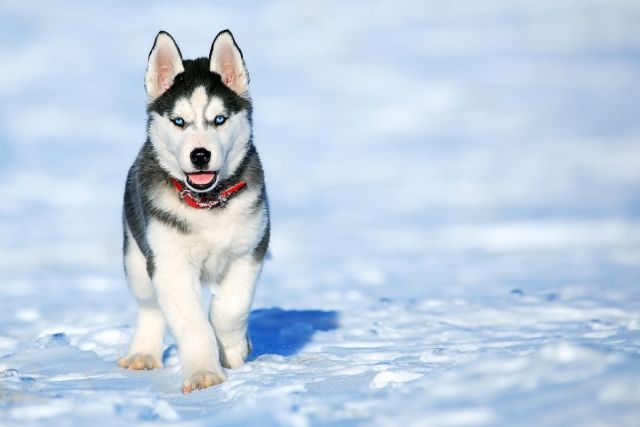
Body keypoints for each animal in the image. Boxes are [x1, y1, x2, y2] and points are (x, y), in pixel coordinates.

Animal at [119, 30, 268, 394]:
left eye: (219, 119)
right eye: (179, 122)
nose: (200, 155)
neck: (207, 204)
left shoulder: (249, 250)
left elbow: (231, 308)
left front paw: (234, 349)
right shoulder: (169, 264)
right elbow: (191, 322)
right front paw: (204, 373)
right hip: (136, 257)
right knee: (150, 307)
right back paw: (143, 353)